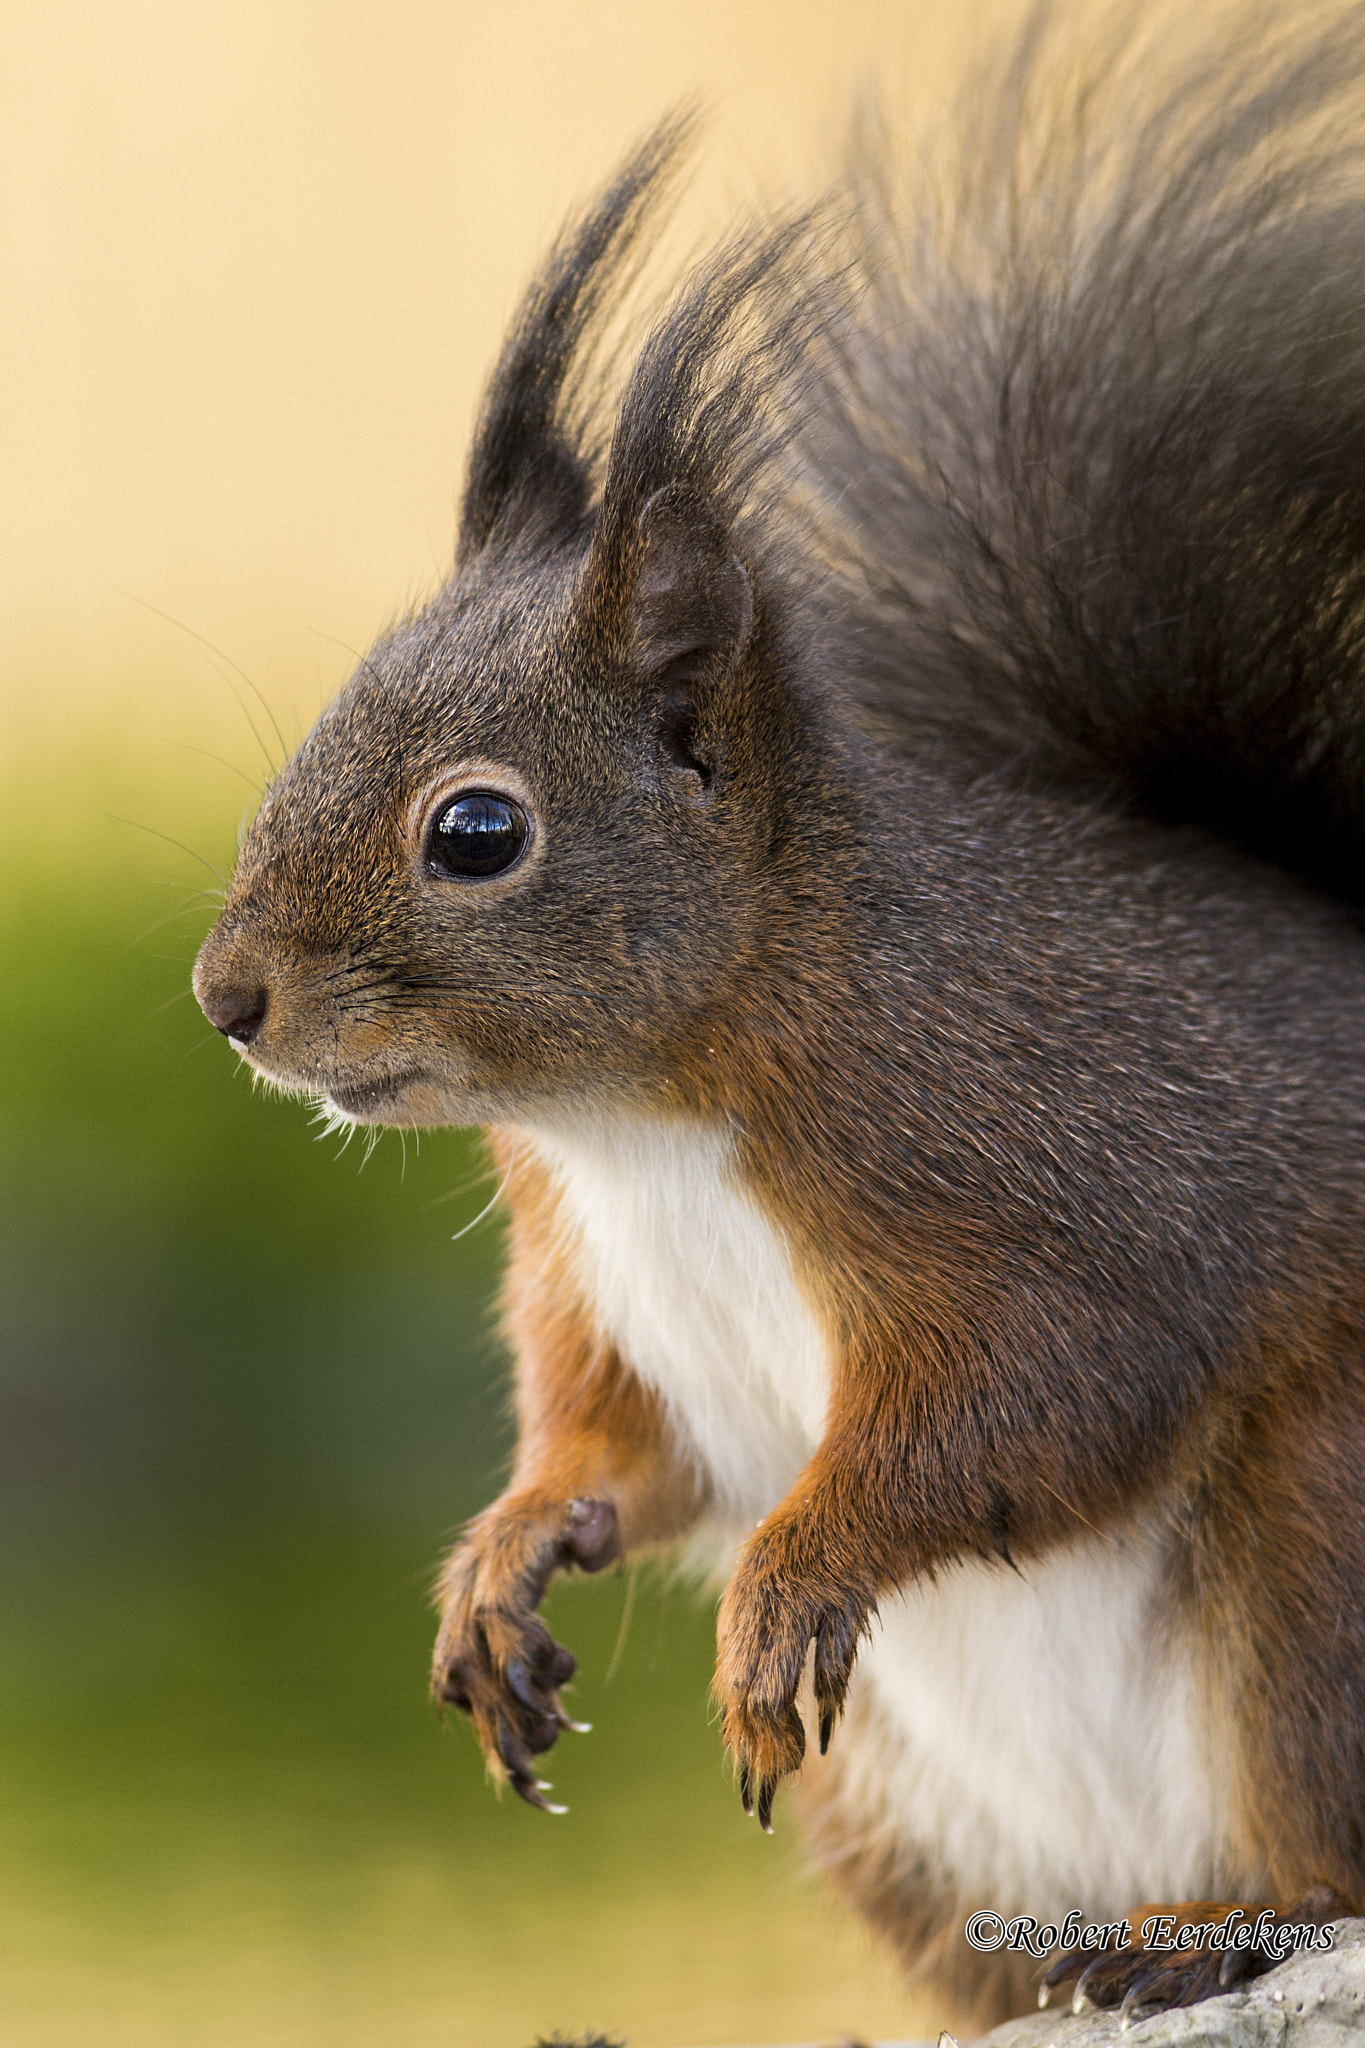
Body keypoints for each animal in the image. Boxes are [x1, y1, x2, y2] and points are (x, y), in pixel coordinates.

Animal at [194, 8, 1365, 2031]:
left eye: (477, 831)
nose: (224, 997)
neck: (641, 1118)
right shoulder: (597, 1287)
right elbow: (627, 1454)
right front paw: (506, 1558)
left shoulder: (1056, 1174)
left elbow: (1040, 1400)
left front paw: (795, 1574)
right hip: (895, 1819)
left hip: (1317, 1557)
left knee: (1331, 1841)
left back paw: (1210, 1928)